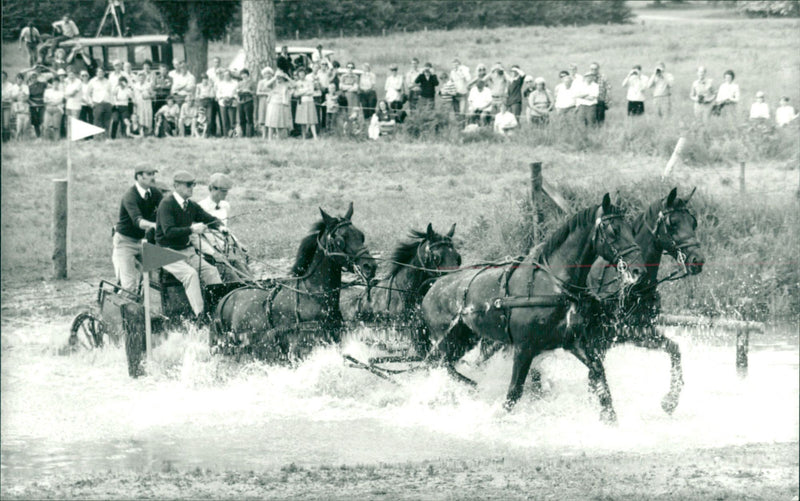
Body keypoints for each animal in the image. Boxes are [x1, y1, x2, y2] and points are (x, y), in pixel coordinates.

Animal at [211, 201, 376, 362]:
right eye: (340, 240)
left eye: (361, 236)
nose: (370, 266)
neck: (312, 293)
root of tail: (225, 298)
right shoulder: (302, 345)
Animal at [422, 193, 648, 420]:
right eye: (614, 231)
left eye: (630, 229)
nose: (639, 270)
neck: (552, 283)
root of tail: (433, 288)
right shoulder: (524, 348)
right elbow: (514, 391)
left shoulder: (573, 341)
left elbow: (599, 374)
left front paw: (611, 420)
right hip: (445, 339)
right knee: (438, 363)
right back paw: (471, 385)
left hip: (464, 338)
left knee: (442, 363)